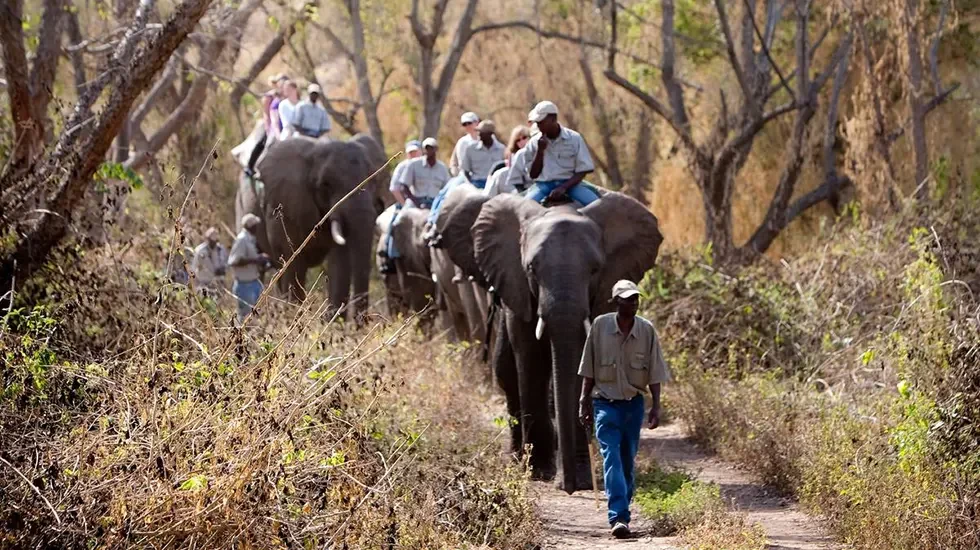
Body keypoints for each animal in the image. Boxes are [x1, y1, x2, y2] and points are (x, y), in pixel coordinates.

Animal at [235, 134, 387, 320]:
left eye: (375, 181)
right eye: (326, 184)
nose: (361, 324)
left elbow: (339, 263)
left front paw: (333, 324)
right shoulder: (285, 202)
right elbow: (293, 262)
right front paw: (295, 317)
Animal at [458, 192, 663, 493]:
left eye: (595, 270)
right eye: (531, 268)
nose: (568, 487)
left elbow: (584, 361)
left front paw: (582, 478)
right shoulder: (516, 283)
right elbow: (529, 356)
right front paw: (539, 471)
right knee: (505, 371)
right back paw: (518, 458)